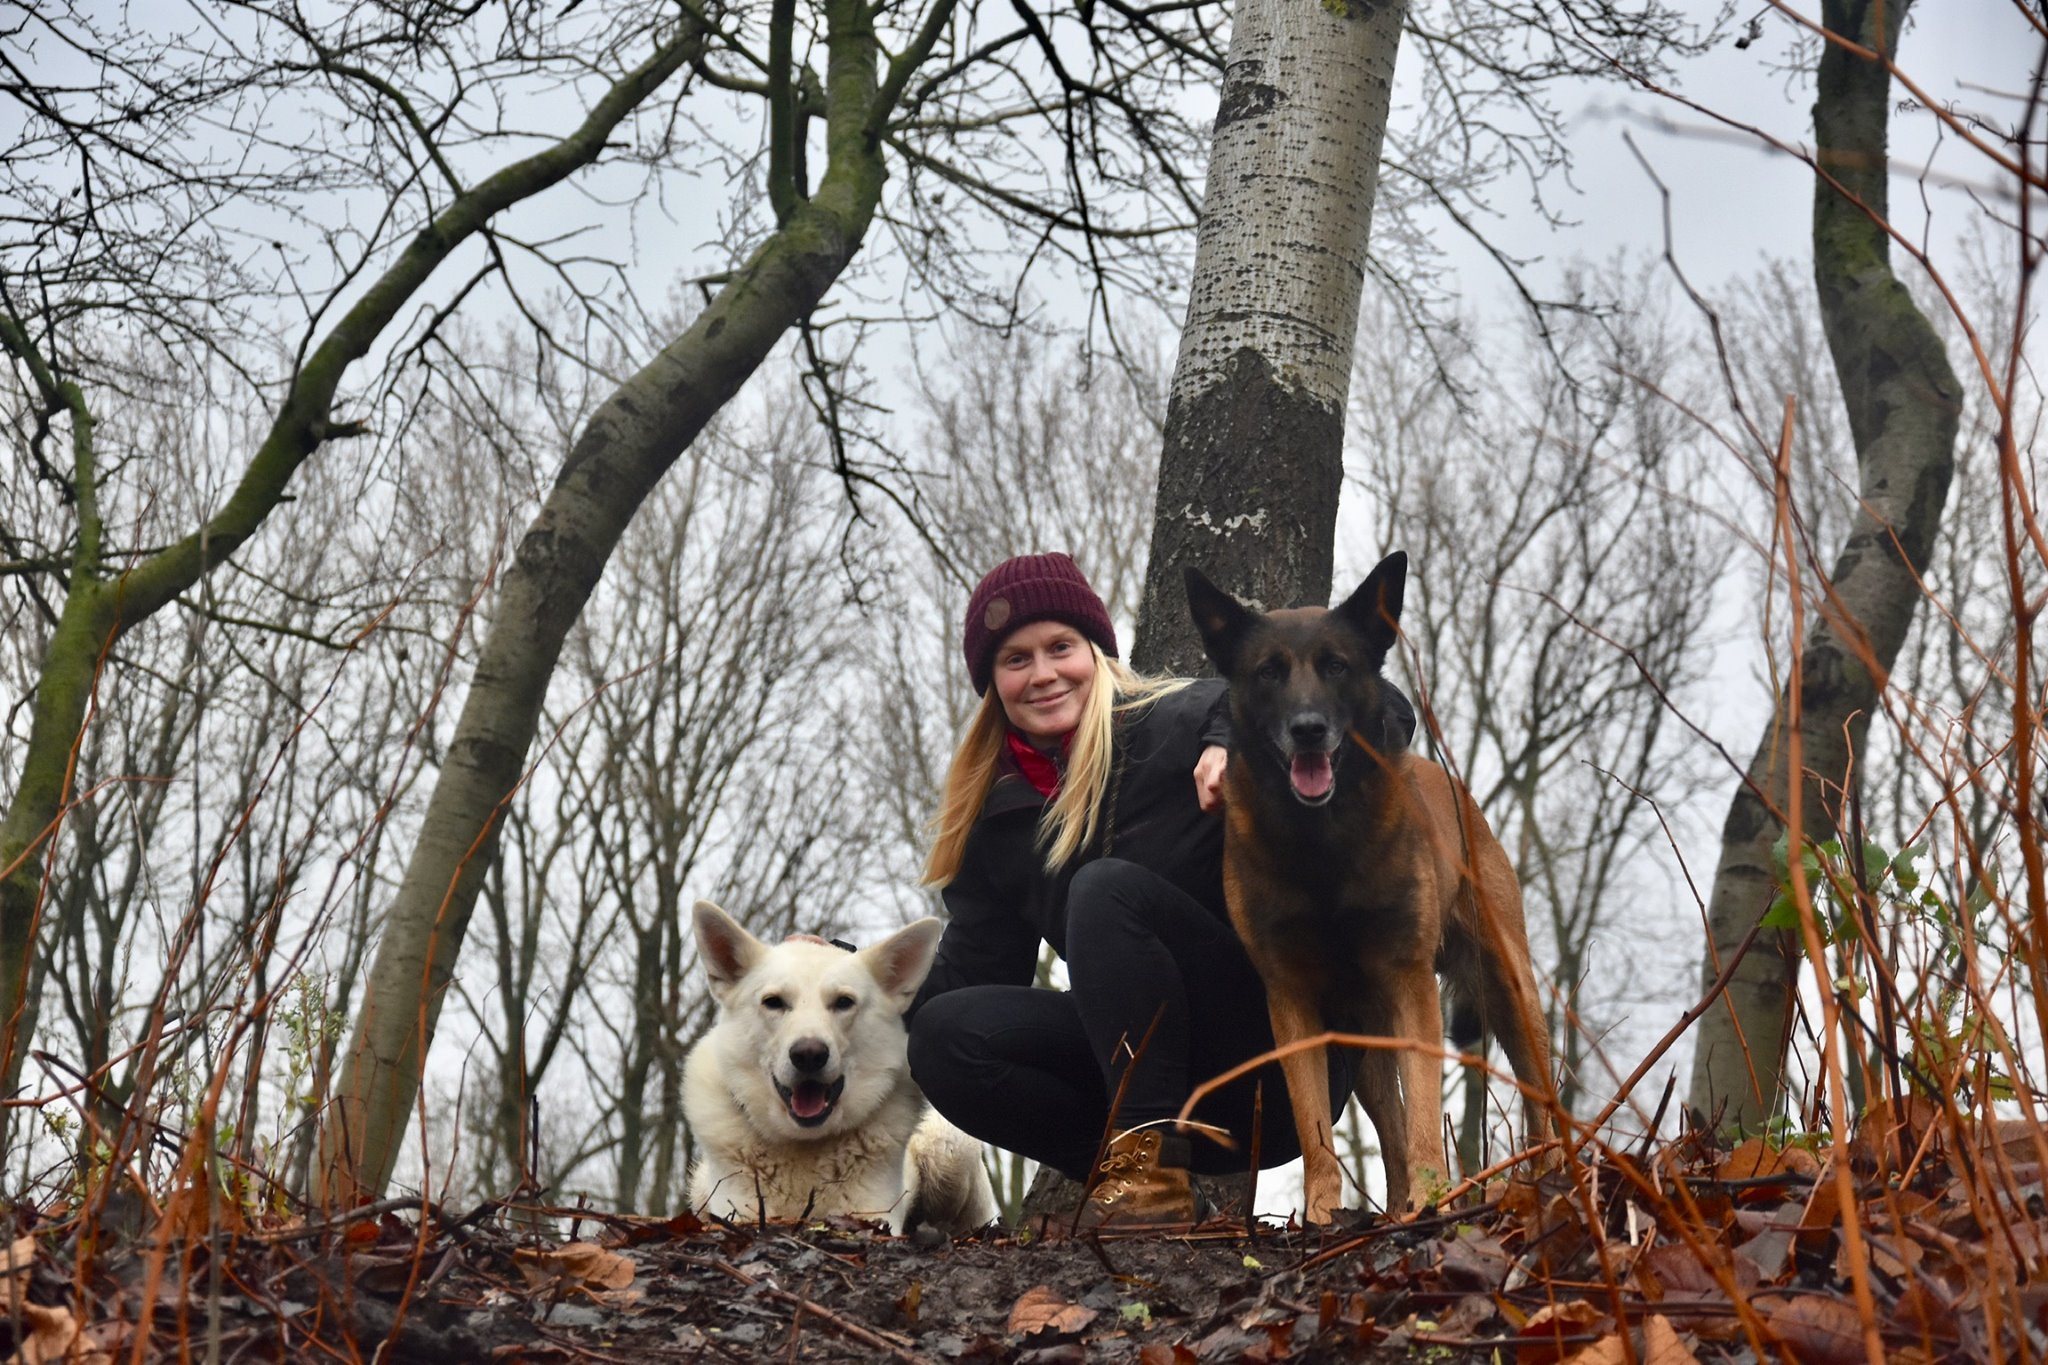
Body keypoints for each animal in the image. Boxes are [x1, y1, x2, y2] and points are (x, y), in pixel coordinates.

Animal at [684, 900, 995, 1236]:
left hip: (950, 1153)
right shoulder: (739, 1212)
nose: (809, 1054)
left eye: (844, 1002)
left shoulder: (872, 1214)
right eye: (773, 1002)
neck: (805, 1145)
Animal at [1187, 556, 1548, 1227]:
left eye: (1336, 665)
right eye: (1269, 671)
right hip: (1367, 1038)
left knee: (1541, 1097)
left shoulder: (1412, 987)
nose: (1308, 730)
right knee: (1392, 1128)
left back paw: (1549, 1175)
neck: (1323, 847)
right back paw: (1398, 1205)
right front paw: (1323, 1214)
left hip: (1511, 990)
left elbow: (1427, 1113)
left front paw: (1434, 1199)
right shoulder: (1293, 1001)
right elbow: (1316, 1127)